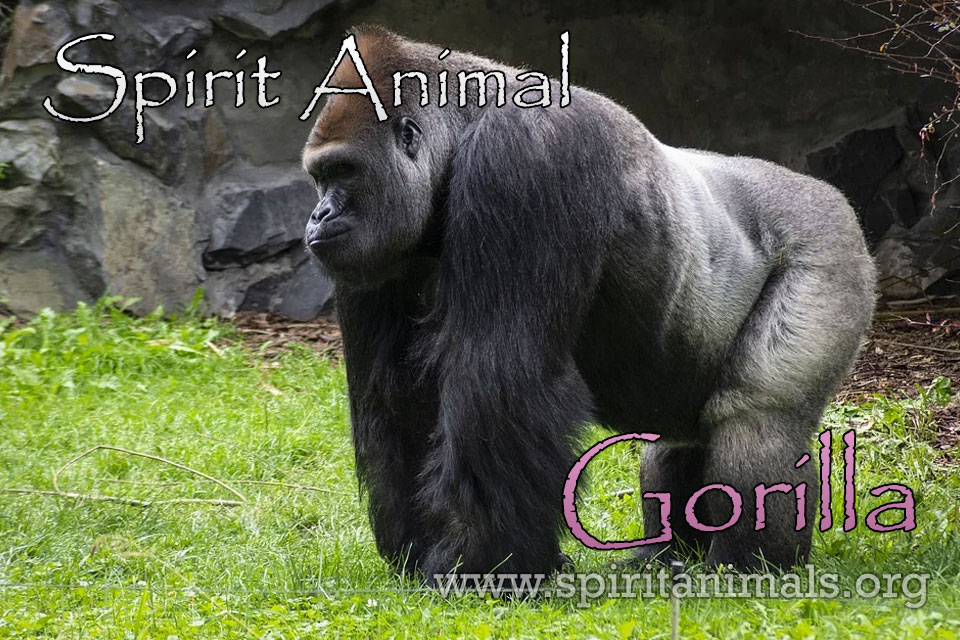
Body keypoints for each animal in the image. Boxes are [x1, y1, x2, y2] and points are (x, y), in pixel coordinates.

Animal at [301, 26, 876, 580]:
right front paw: (419, 549)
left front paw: (483, 564)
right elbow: (396, 397)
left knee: (756, 423)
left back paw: (748, 566)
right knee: (677, 443)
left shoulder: (526, 158)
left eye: (344, 171)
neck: (465, 125)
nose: (318, 216)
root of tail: (835, 197)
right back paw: (667, 555)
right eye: (320, 177)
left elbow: (497, 379)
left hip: (827, 245)